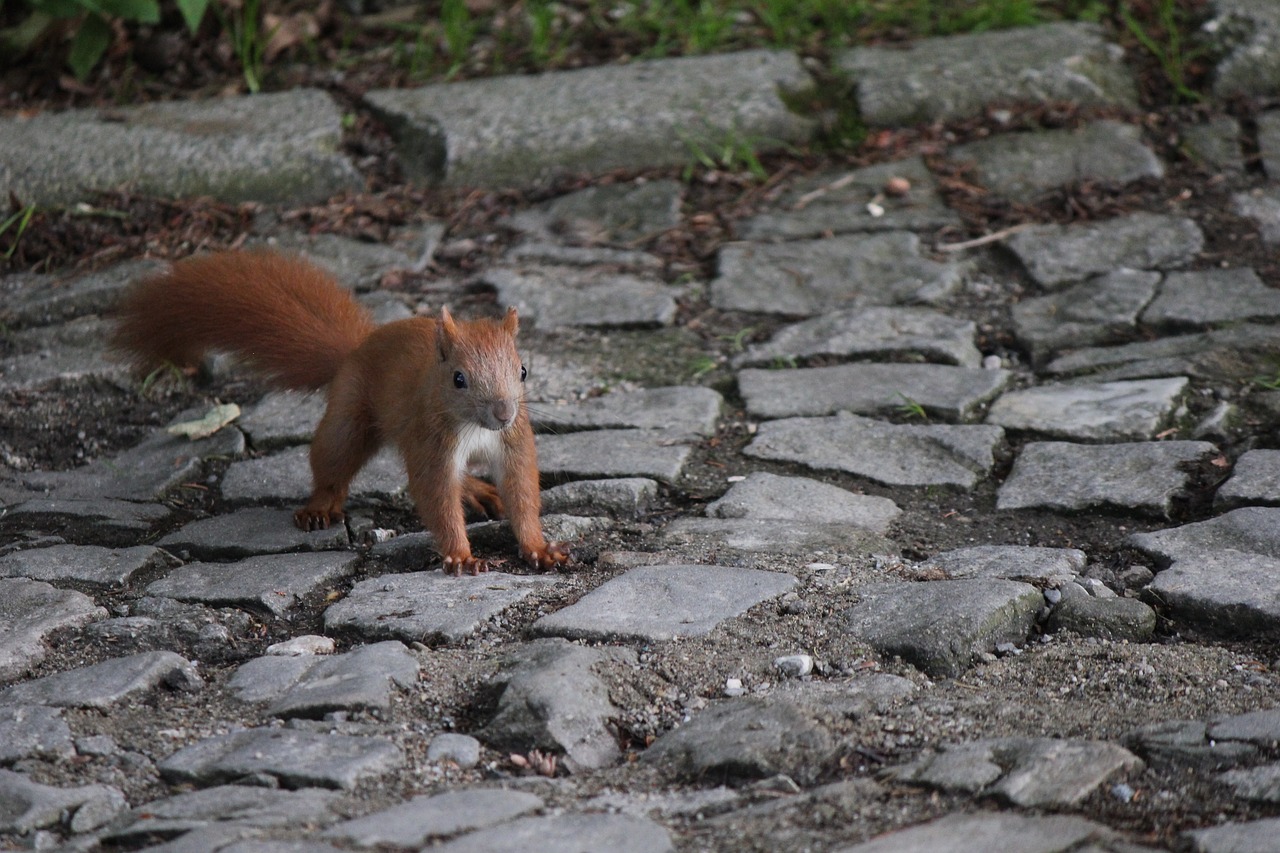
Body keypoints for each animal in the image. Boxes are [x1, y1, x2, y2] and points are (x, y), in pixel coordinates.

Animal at [110, 249, 570, 573]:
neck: (476, 429)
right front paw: (460, 556)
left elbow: (522, 493)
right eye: (459, 379)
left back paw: (477, 490)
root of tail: (357, 349)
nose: (504, 413)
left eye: (523, 370)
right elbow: (436, 495)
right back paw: (320, 507)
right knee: (332, 462)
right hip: (348, 420)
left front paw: (538, 547)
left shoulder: (513, 443)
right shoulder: (431, 442)